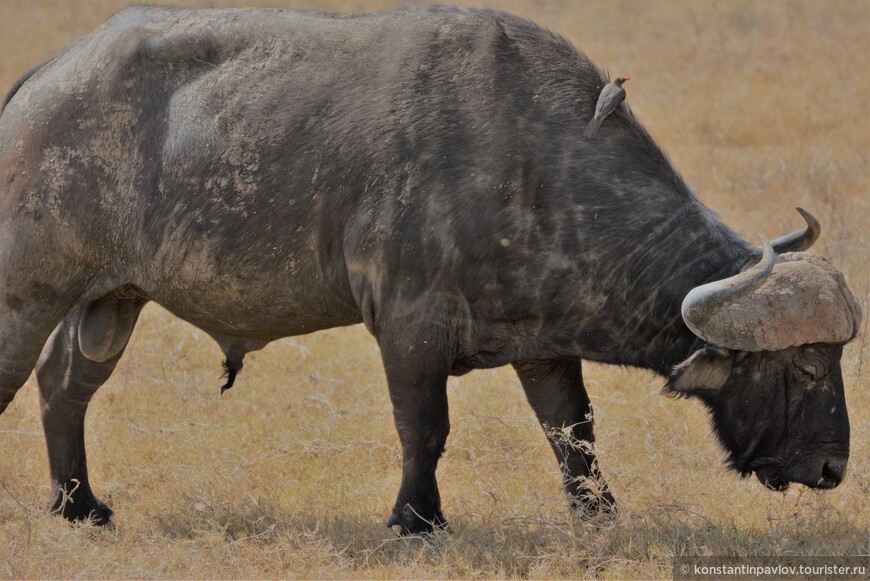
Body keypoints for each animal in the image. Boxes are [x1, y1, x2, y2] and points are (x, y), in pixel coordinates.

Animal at [0, 4, 860, 532]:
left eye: (832, 356)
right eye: (808, 367)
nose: (832, 467)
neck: (535, 163)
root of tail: (43, 78)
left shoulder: (544, 342)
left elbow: (573, 432)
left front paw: (599, 514)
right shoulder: (409, 326)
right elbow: (425, 428)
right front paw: (417, 519)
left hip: (112, 299)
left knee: (64, 384)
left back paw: (78, 504)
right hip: (28, 291)